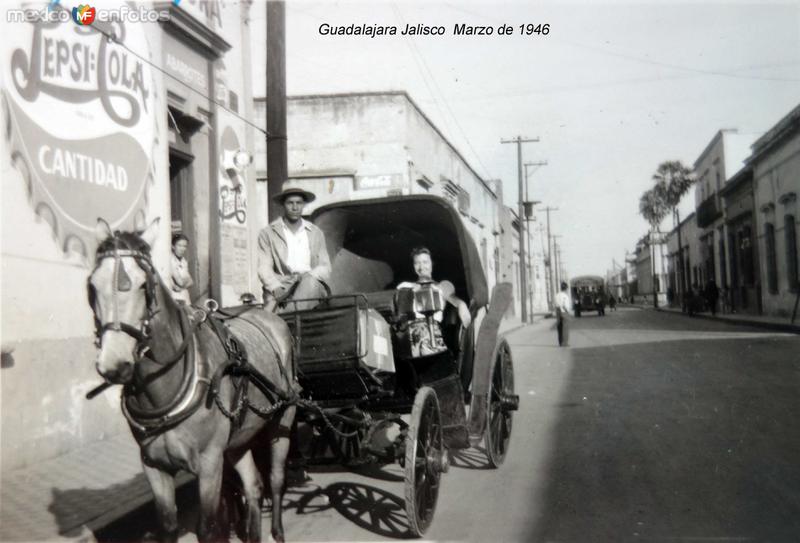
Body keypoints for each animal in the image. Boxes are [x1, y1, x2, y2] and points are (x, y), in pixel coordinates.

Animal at [87, 218, 298, 543]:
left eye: (144, 286)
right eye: (92, 286)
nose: (114, 364)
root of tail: (269, 314)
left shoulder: (210, 464)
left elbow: (207, 528)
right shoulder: (154, 466)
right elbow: (167, 526)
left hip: (282, 419)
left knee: (275, 479)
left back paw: (276, 530)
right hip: (238, 439)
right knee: (254, 486)